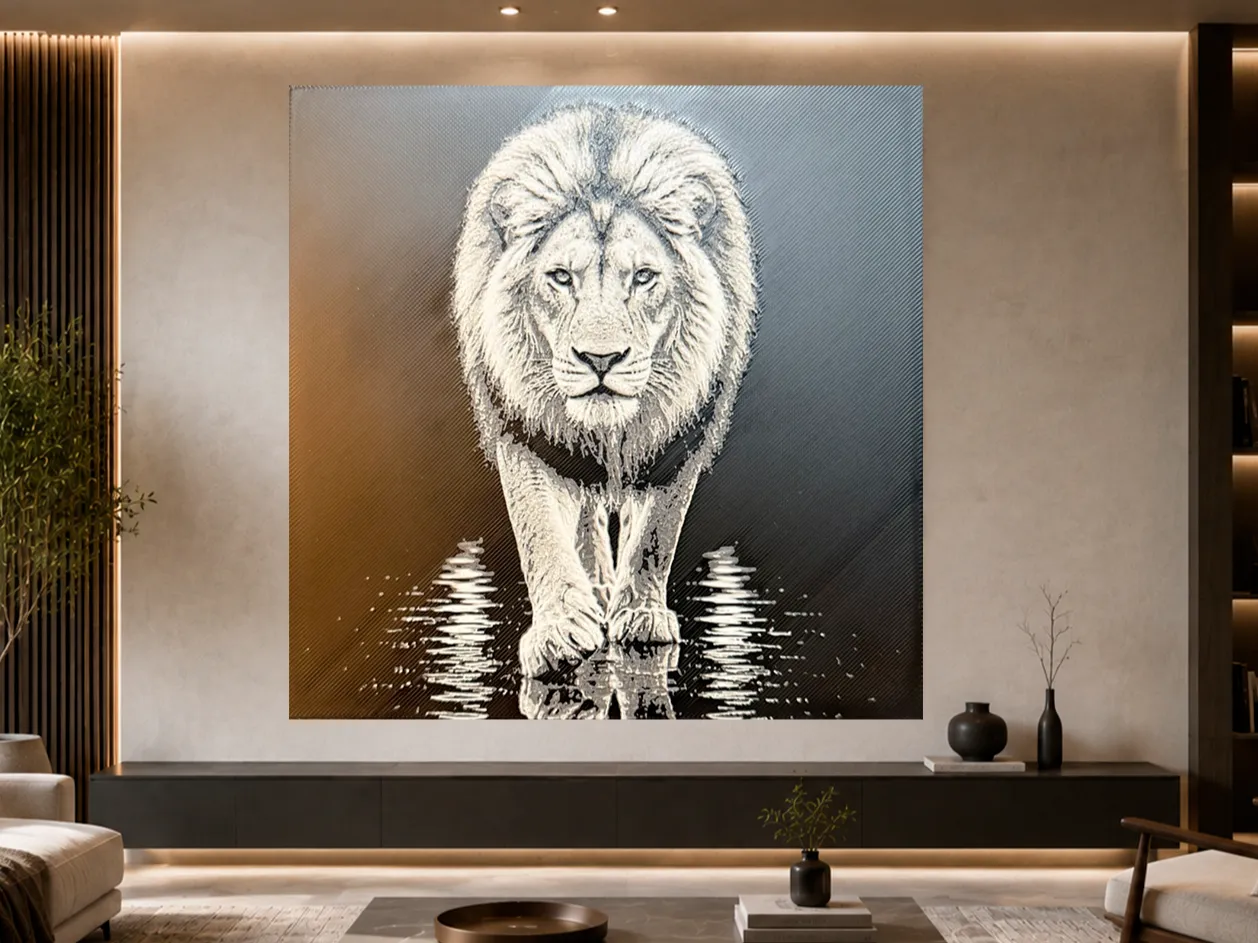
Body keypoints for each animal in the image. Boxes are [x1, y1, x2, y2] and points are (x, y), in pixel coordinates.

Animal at [451, 103, 758, 678]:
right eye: (560, 277)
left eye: (643, 277)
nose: (600, 359)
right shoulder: (523, 430)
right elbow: (539, 532)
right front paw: (560, 632)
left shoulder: (681, 435)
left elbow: (657, 533)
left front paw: (641, 616)